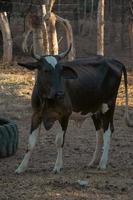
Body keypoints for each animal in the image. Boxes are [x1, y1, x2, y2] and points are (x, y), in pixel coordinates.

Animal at [15, 45, 132, 173]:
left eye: (61, 71)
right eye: (46, 70)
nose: (60, 93)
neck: (47, 99)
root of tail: (113, 60)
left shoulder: (64, 115)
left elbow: (59, 141)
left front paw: (57, 166)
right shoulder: (36, 114)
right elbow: (31, 142)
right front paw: (21, 167)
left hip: (108, 105)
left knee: (108, 131)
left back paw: (102, 163)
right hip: (95, 110)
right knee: (99, 133)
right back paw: (93, 162)